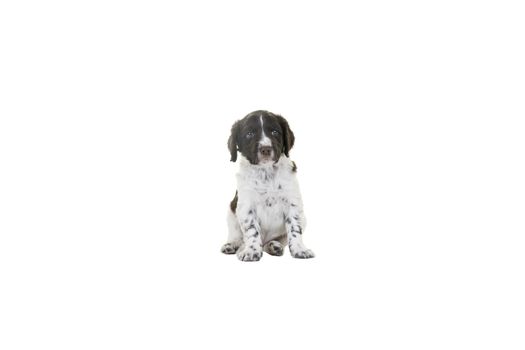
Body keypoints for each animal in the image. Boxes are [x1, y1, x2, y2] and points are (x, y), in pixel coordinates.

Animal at [219, 110, 314, 262]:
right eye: (249, 134)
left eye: (275, 132)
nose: (266, 149)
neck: (266, 173)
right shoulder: (246, 205)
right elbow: (252, 230)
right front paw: (251, 251)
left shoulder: (292, 203)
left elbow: (294, 228)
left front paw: (300, 249)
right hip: (231, 211)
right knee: (237, 236)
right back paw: (233, 245)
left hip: (304, 219)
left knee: (277, 240)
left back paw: (273, 246)